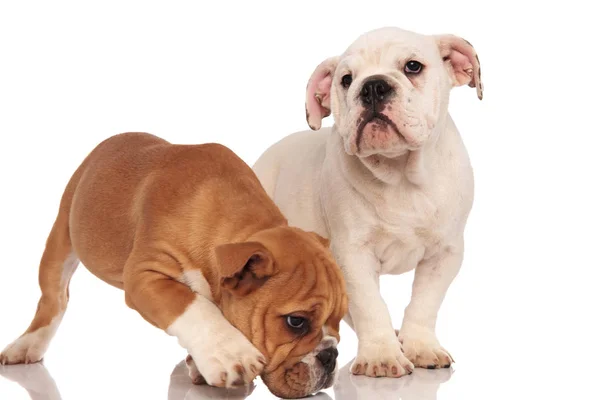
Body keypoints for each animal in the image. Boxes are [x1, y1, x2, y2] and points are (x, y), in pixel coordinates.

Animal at [0, 132, 346, 396]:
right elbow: (191, 305)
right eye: (296, 322)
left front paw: (202, 364)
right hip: (62, 234)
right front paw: (229, 353)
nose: (331, 356)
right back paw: (27, 345)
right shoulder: (144, 274)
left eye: (340, 321)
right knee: (54, 298)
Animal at [253, 26, 482, 376]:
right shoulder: (352, 254)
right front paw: (381, 357)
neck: (399, 175)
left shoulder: (445, 253)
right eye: (346, 79)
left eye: (413, 67)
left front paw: (420, 347)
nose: (373, 85)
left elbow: (425, 303)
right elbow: (370, 305)